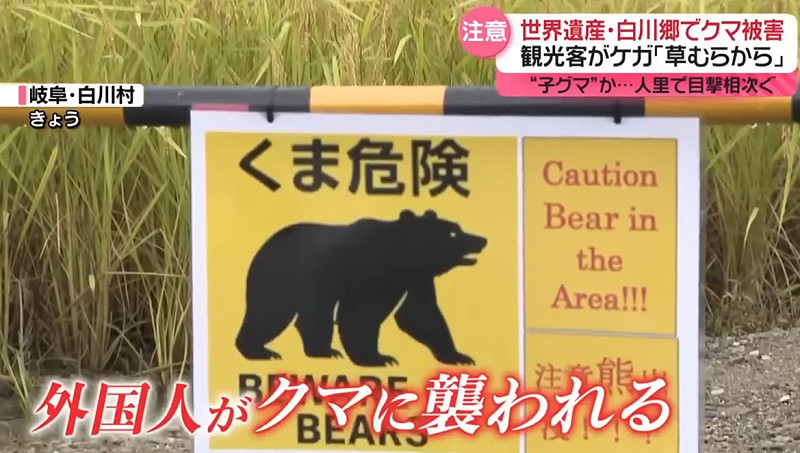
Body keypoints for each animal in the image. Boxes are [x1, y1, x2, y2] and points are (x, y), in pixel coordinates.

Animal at [234, 209, 488, 367]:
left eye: (458, 227)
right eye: (453, 232)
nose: (481, 239)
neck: (402, 257)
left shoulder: (416, 278)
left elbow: (421, 314)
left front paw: (459, 356)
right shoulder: (368, 272)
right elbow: (361, 314)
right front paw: (379, 358)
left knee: (313, 315)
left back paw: (324, 351)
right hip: (282, 276)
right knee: (269, 311)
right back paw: (259, 351)